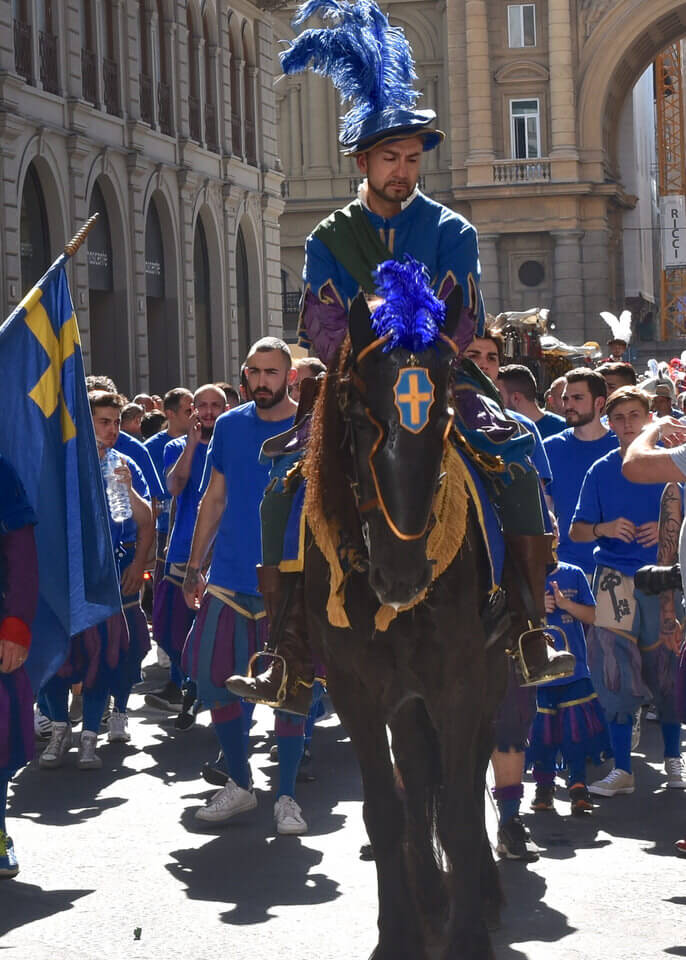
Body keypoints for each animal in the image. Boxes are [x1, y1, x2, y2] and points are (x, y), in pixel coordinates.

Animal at [304, 290, 508, 960]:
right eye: (358, 414)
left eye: (443, 415)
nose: (401, 574)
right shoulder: (358, 692)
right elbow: (386, 810)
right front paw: (398, 930)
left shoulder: (462, 685)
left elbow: (464, 811)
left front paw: (468, 937)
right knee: (418, 778)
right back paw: (430, 895)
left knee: (467, 773)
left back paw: (479, 889)